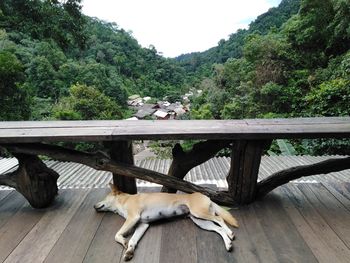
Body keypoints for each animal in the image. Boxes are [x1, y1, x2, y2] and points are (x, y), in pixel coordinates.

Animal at [94, 185, 239, 262]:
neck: (125, 200)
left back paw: (230, 233)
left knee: (219, 219)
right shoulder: (142, 224)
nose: (94, 206)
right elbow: (133, 241)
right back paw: (228, 242)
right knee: (218, 229)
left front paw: (124, 241)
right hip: (200, 221)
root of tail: (204, 195)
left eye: (104, 198)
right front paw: (129, 251)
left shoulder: (133, 218)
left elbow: (117, 235)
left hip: (199, 212)